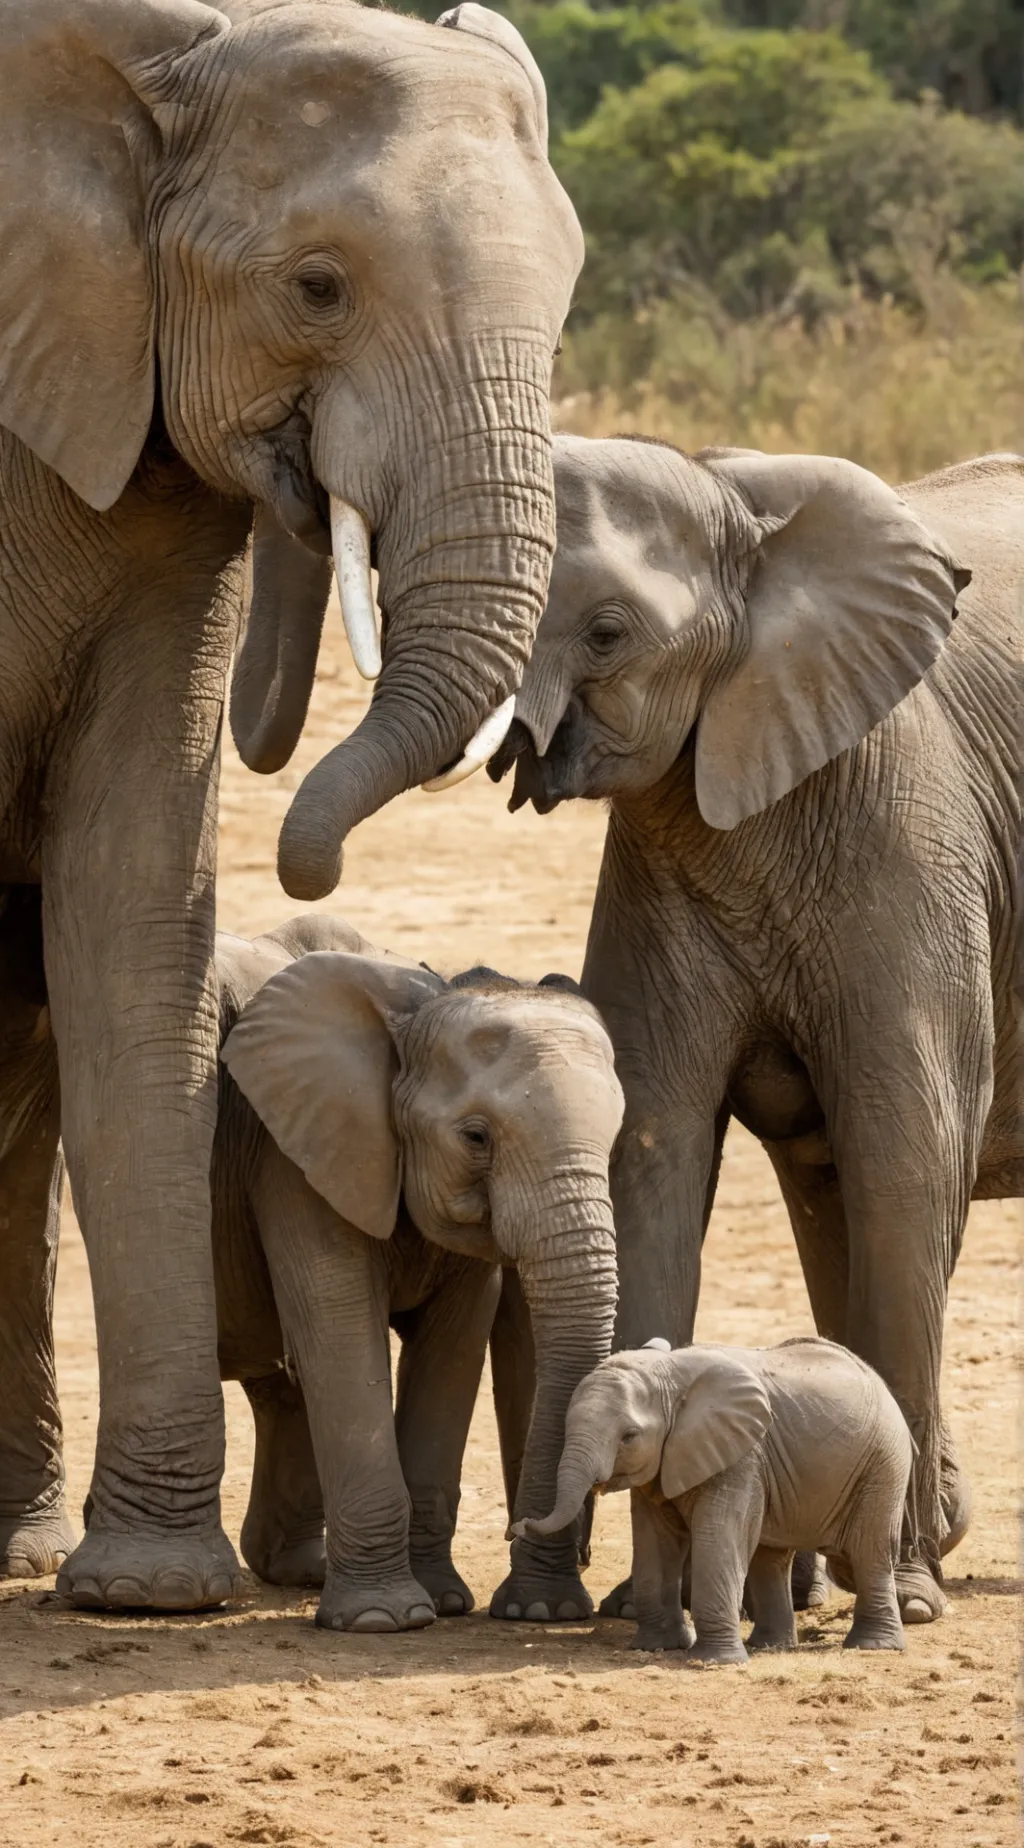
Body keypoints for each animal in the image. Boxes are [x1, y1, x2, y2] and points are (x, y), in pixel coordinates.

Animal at [210, 912, 623, 1631]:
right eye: (476, 1138)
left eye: (616, 1136)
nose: (546, 1609)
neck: (415, 1012)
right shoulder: (298, 1155)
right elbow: (343, 1330)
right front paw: (384, 1620)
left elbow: (453, 1348)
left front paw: (454, 1603)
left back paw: (299, 1571)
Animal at [489, 438, 1022, 1625]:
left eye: (606, 633)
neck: (739, 504)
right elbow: (655, 1151)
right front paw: (635, 1609)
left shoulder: (908, 826)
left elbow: (910, 1156)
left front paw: (910, 1600)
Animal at [513, 1337, 913, 1661]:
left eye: (629, 1436)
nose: (518, 1526)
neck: (670, 1376)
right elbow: (654, 1543)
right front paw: (656, 1648)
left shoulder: (742, 1456)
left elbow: (716, 1537)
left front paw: (714, 1661)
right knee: (771, 1558)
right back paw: (770, 1647)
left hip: (883, 1465)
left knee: (869, 1551)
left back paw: (872, 1647)